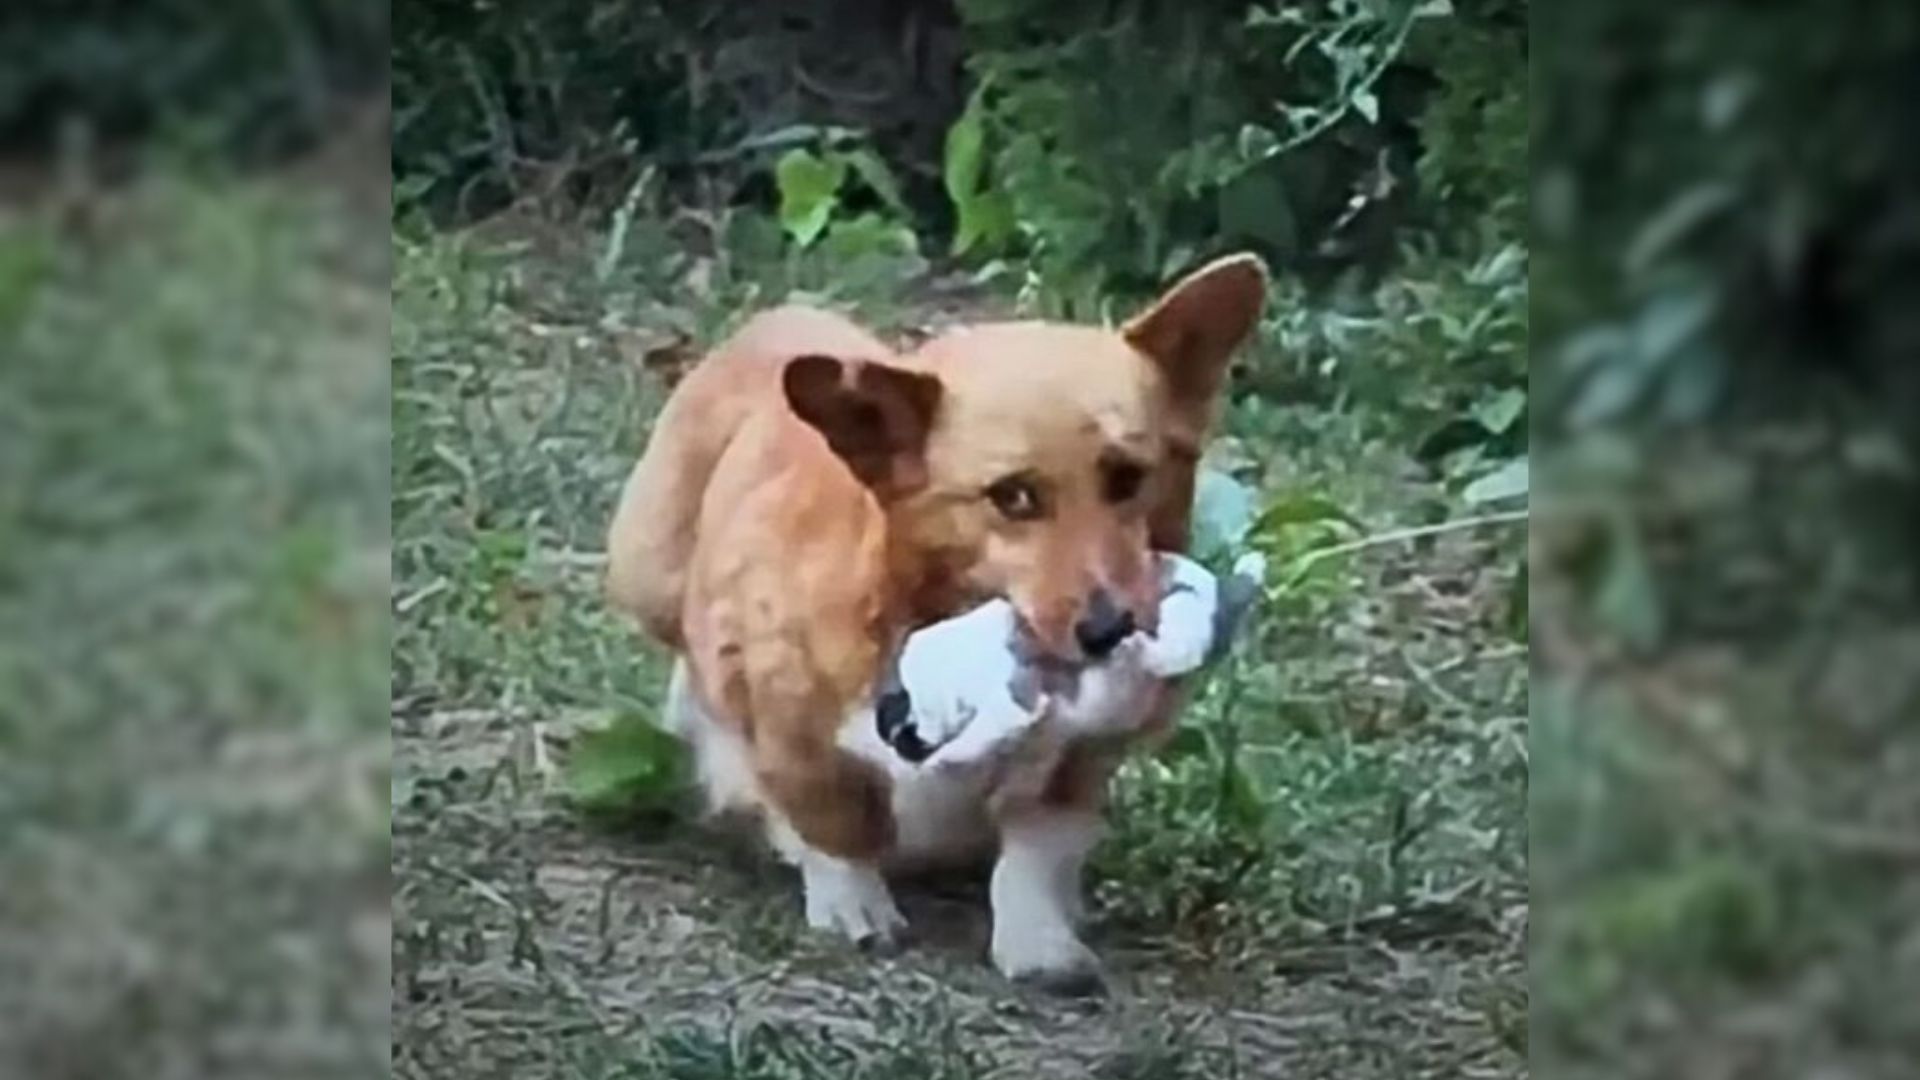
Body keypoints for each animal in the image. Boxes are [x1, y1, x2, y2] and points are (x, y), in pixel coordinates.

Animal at [606, 253, 1267, 991]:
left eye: (1128, 478)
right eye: (1013, 497)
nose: (1109, 631)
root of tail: (769, 323)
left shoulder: (1080, 762)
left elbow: (1036, 850)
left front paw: (1040, 941)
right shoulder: (791, 723)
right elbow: (832, 820)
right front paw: (853, 906)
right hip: (646, 572)